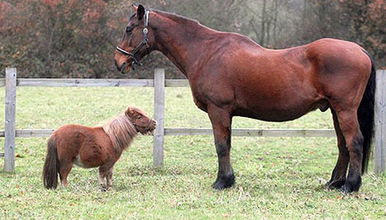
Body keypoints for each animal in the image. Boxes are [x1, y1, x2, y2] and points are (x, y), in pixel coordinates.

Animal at [113, 4, 376, 192]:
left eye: (129, 29)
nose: (119, 62)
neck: (206, 52)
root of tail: (359, 50)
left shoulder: (218, 110)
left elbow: (221, 146)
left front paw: (222, 182)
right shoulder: (225, 113)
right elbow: (227, 144)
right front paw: (228, 180)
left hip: (344, 109)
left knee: (354, 142)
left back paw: (350, 186)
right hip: (334, 110)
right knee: (342, 144)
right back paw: (334, 183)